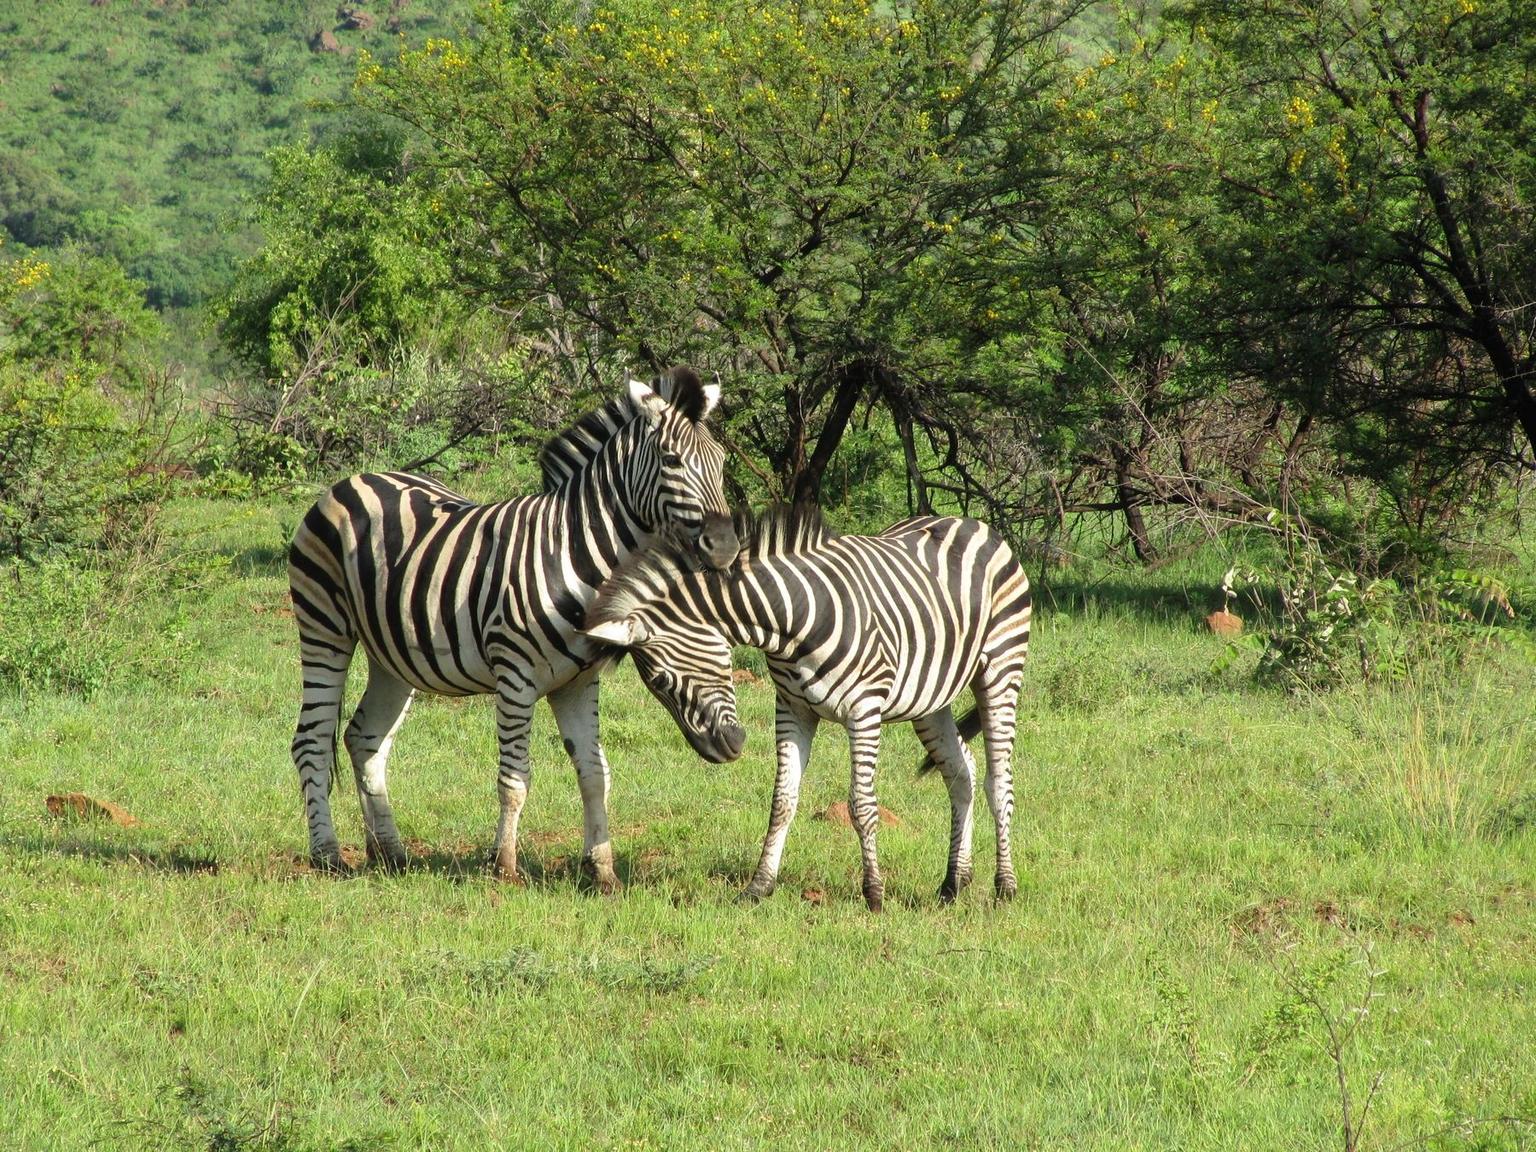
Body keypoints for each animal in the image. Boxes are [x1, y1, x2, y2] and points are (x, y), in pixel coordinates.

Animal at [288, 370, 749, 890]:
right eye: (672, 460)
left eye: (721, 461)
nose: (726, 547)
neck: (576, 555)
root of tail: (356, 478)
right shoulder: (516, 676)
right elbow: (515, 779)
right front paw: (503, 867)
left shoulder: (578, 683)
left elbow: (595, 773)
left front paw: (601, 871)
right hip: (324, 624)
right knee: (311, 740)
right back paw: (328, 855)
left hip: (392, 653)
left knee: (364, 738)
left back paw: (389, 854)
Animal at [580, 503, 1038, 909]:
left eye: (659, 680)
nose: (727, 749)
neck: (789, 622)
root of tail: (973, 522)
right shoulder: (791, 708)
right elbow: (782, 801)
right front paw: (758, 887)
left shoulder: (864, 709)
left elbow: (862, 805)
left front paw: (874, 894)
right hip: (930, 699)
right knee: (962, 774)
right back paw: (953, 884)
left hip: (1000, 671)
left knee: (999, 781)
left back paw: (1005, 887)